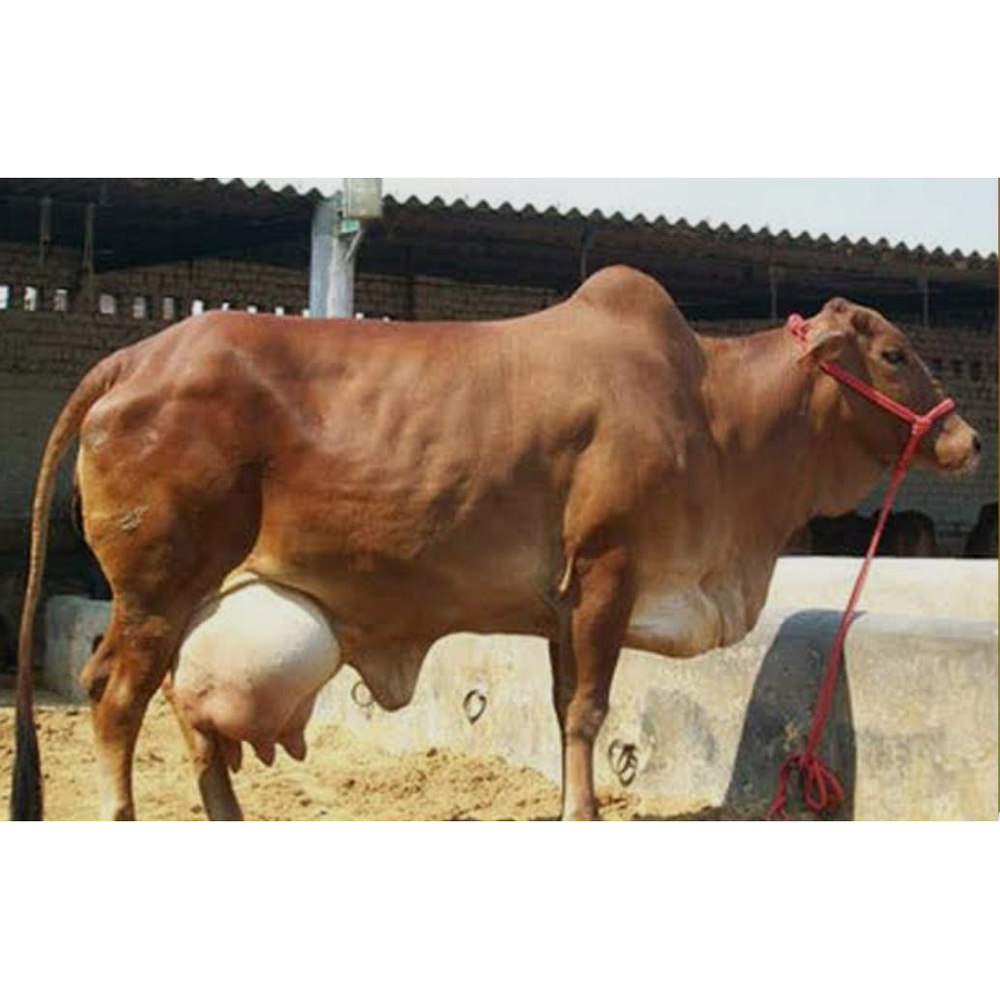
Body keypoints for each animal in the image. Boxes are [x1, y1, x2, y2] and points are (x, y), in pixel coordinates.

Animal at [9, 266, 980, 821]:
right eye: (894, 354)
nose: (965, 438)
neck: (717, 417)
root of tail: (136, 358)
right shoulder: (608, 572)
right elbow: (588, 710)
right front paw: (582, 816)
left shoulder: (563, 603)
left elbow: (562, 711)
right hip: (156, 589)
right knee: (115, 699)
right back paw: (123, 816)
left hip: (196, 598)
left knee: (185, 709)